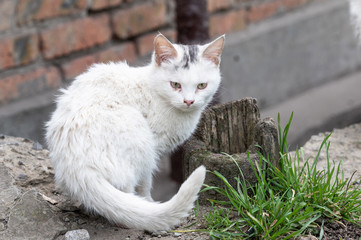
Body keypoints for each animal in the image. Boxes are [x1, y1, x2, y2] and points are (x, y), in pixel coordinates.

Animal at [45, 33, 222, 231]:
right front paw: (148, 201)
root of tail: (78, 167)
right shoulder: (153, 152)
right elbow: (145, 184)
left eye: (202, 85)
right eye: (175, 84)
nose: (189, 101)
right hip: (142, 144)